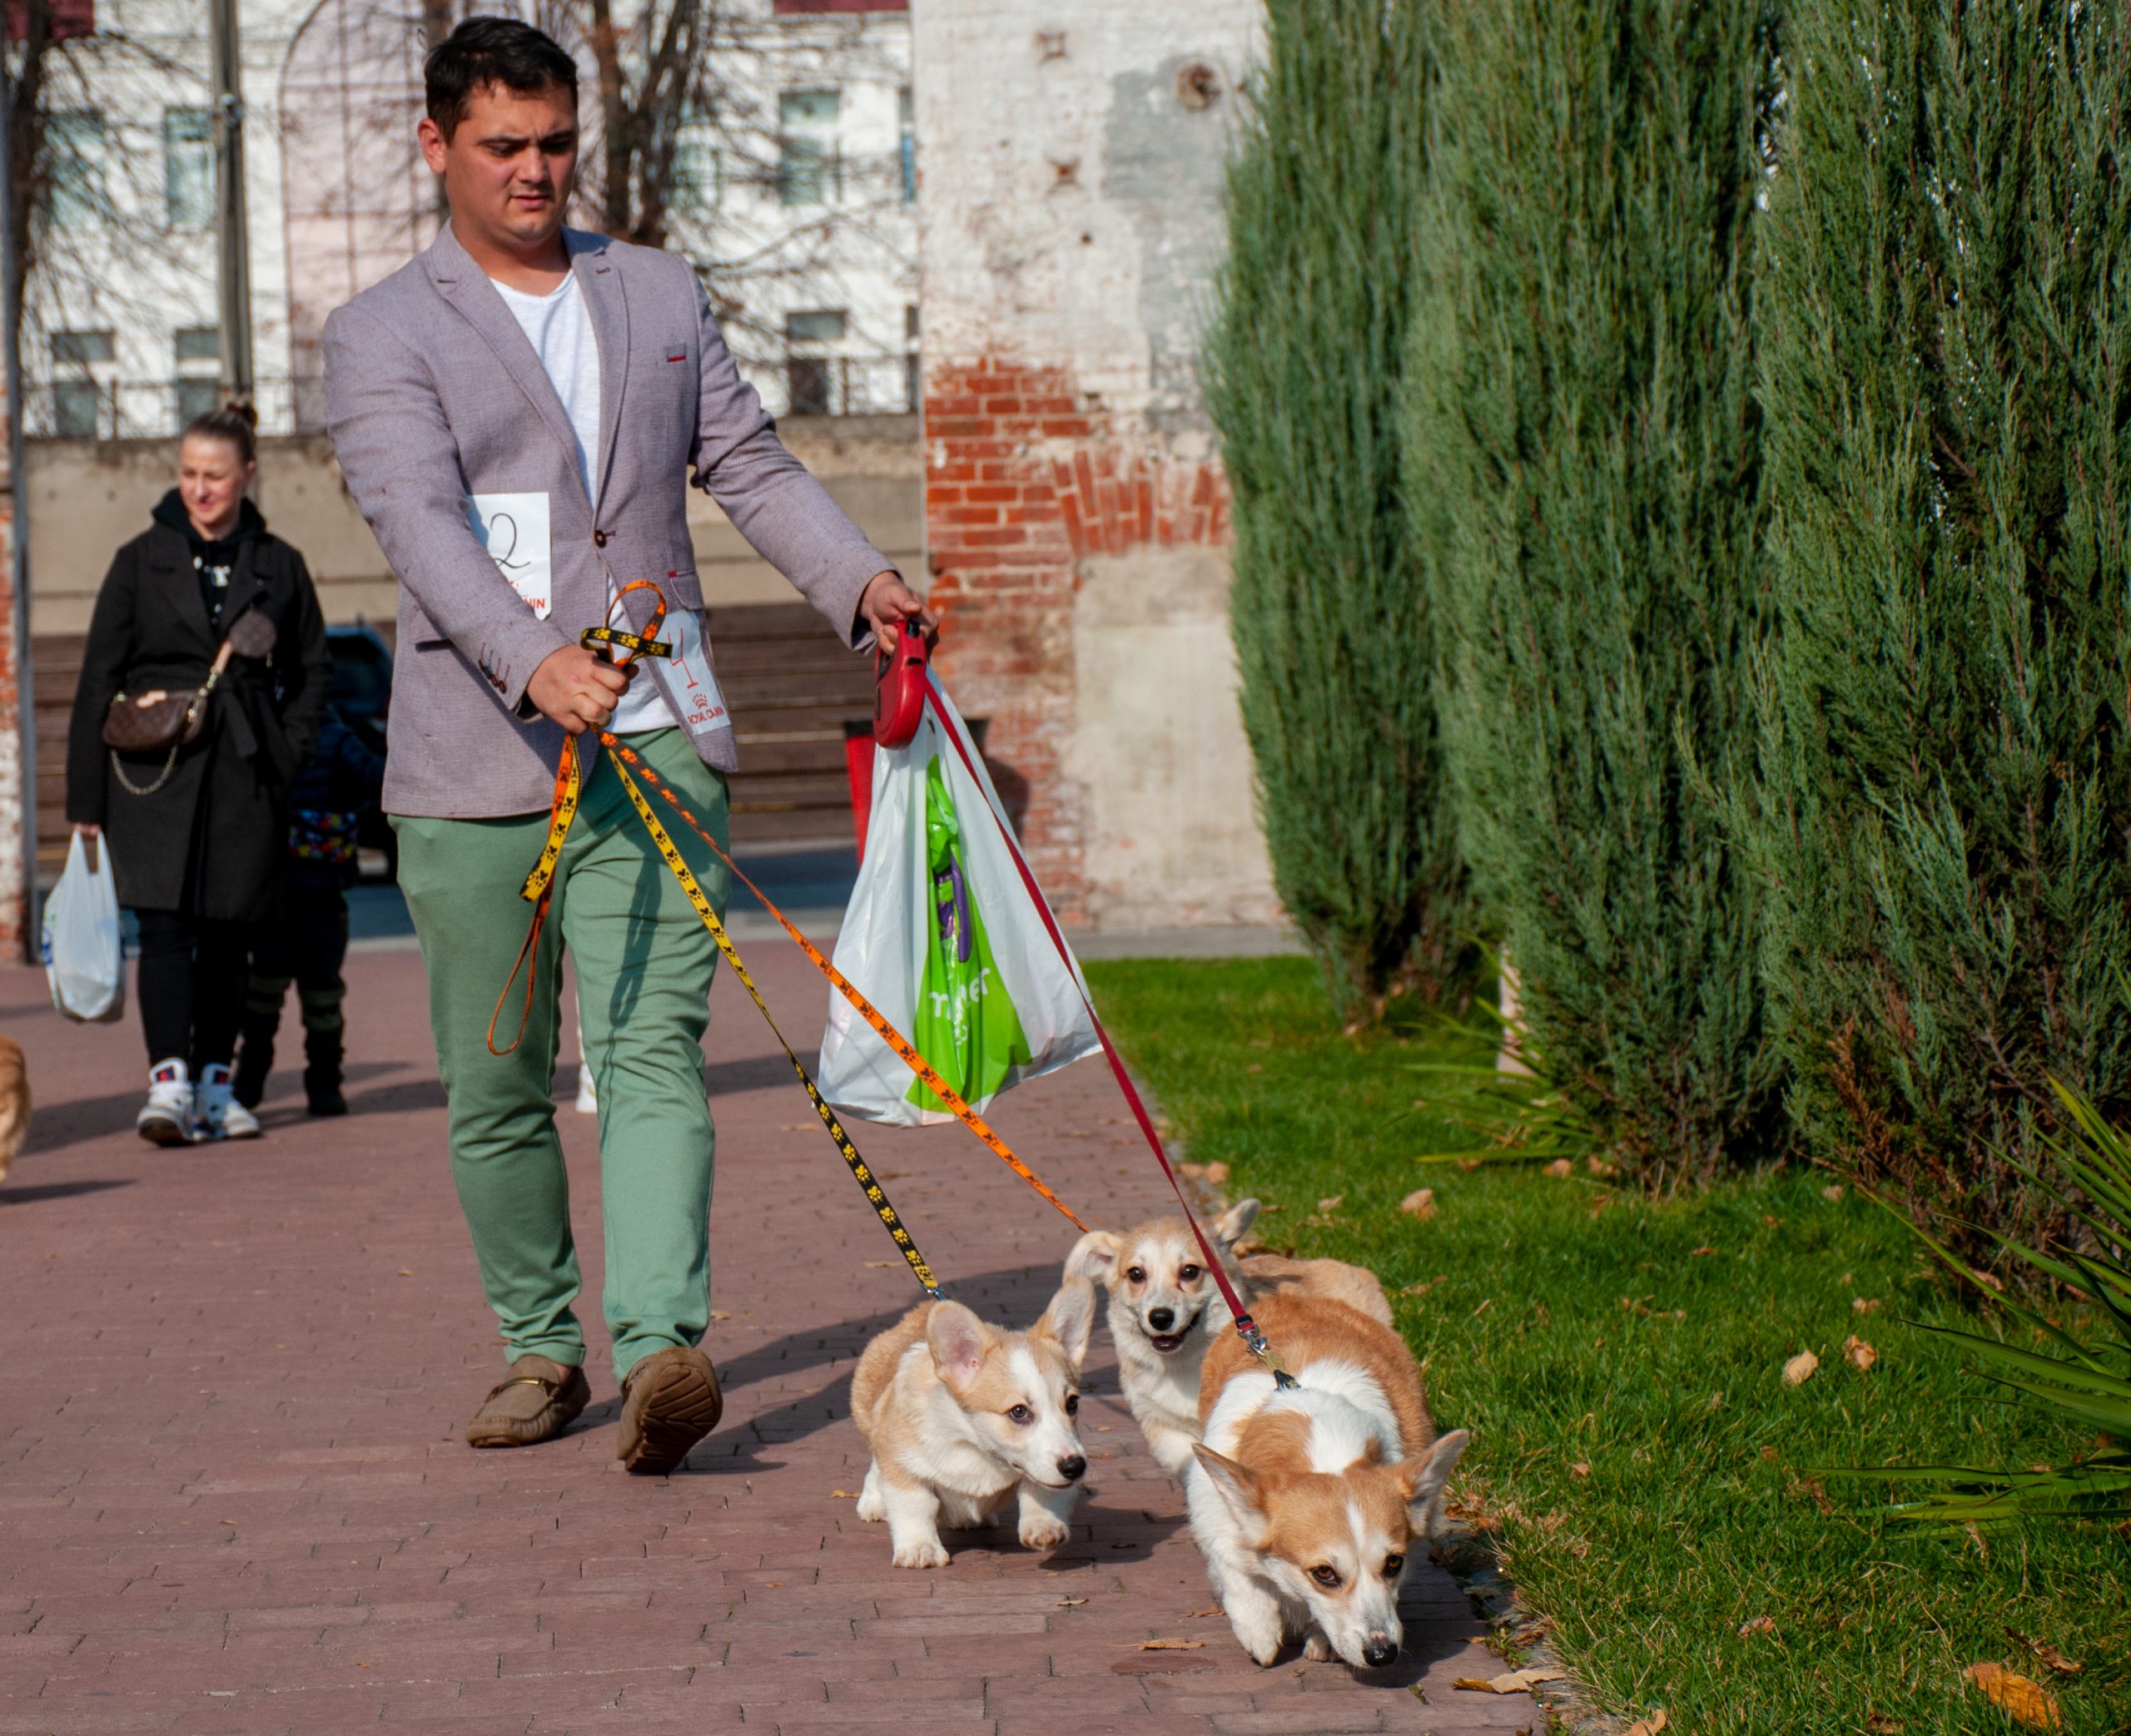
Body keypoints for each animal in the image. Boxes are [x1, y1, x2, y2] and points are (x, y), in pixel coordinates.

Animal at [847, 1277, 1099, 1576]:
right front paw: (920, 1549)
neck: (977, 1448)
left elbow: (1040, 1488)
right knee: (876, 1462)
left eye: (1072, 1403)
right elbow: (915, 1506)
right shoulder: (902, 1462)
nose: (1075, 1467)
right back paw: (873, 1501)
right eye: (1018, 1411)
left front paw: (1044, 1524)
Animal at [1066, 1209, 1398, 1482]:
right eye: (1136, 1274)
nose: (1160, 1317)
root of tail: (1354, 1269)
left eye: (1190, 1271)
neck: (1186, 1363)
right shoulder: (1164, 1425)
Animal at [1185, 1286, 1466, 1669]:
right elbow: (1237, 1569)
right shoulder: (1216, 1510)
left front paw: (1322, 1641)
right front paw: (1260, 1633)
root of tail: (1296, 1297)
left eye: (1394, 1563)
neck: (1321, 1444)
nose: (1382, 1655)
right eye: (1324, 1573)